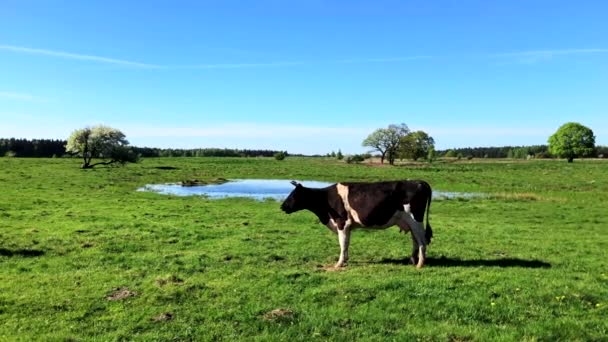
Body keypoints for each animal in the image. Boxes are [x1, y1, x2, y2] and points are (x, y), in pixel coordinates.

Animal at [280, 180, 432, 268]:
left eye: (293, 195)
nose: (282, 207)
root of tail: (418, 181)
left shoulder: (342, 223)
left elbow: (342, 244)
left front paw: (339, 264)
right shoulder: (347, 227)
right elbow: (346, 243)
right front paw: (345, 260)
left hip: (415, 219)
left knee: (422, 241)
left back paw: (420, 264)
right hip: (409, 222)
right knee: (415, 240)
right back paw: (412, 260)